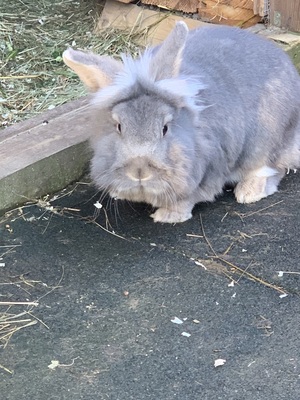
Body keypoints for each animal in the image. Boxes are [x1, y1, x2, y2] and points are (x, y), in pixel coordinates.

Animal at [62, 22, 298, 222]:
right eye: (119, 126)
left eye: (165, 128)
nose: (140, 172)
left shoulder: (207, 171)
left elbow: (187, 198)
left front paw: (167, 216)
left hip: (266, 141)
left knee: (274, 168)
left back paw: (249, 192)